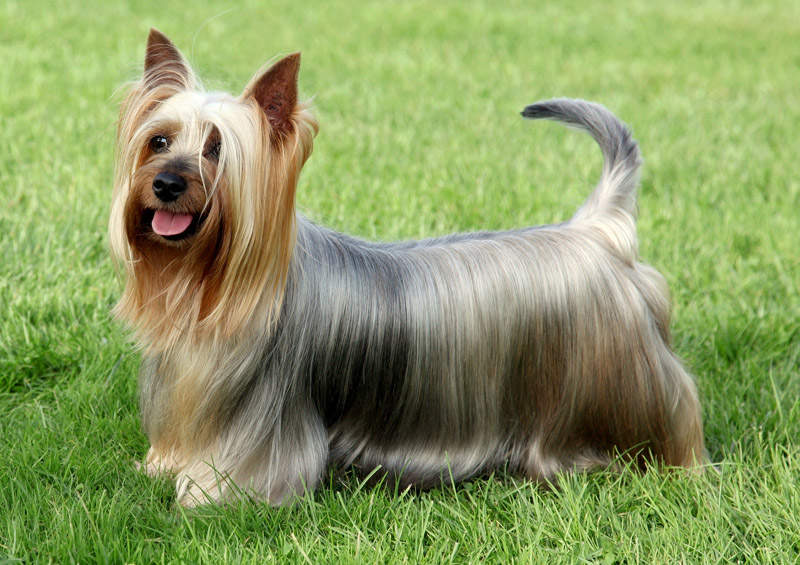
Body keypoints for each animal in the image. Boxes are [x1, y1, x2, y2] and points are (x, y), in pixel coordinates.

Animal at [109, 29, 704, 506]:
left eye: (216, 150)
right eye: (158, 140)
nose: (166, 184)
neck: (208, 281)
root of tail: (597, 229)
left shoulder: (267, 423)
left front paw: (205, 495)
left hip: (624, 380)